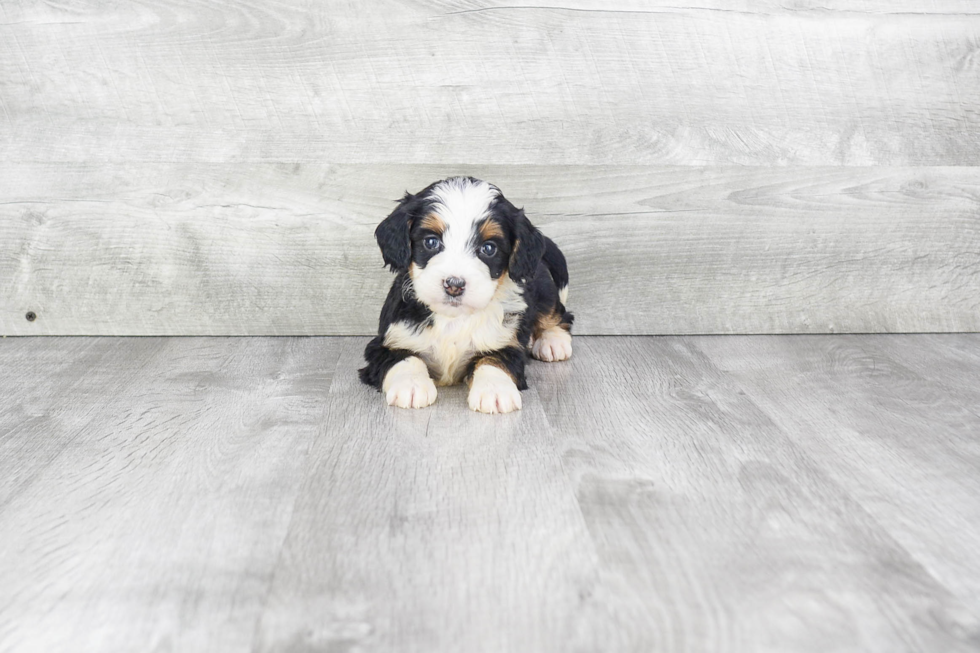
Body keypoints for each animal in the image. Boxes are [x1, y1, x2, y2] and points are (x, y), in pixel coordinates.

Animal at [360, 177, 576, 412]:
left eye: (489, 248)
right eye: (431, 242)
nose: (454, 285)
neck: (453, 319)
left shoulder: (506, 342)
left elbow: (493, 360)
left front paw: (495, 390)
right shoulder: (387, 341)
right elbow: (404, 357)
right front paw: (411, 385)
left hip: (543, 289)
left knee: (557, 314)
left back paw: (553, 341)